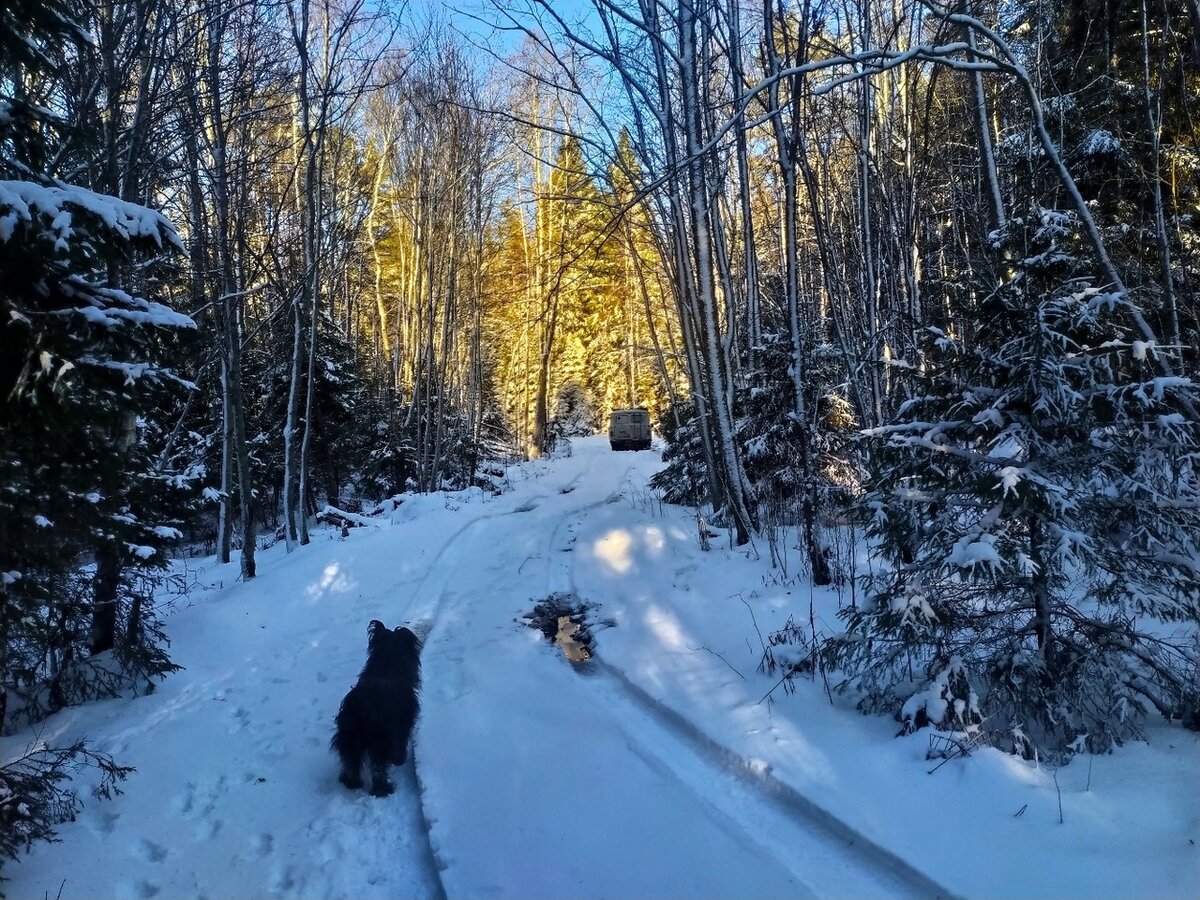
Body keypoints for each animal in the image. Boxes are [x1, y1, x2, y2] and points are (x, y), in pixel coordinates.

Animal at [333, 619, 422, 796]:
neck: (387, 663)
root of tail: (360, 710)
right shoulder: (404, 719)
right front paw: (400, 760)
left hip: (349, 738)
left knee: (351, 762)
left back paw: (351, 782)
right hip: (380, 741)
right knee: (378, 769)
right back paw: (384, 789)